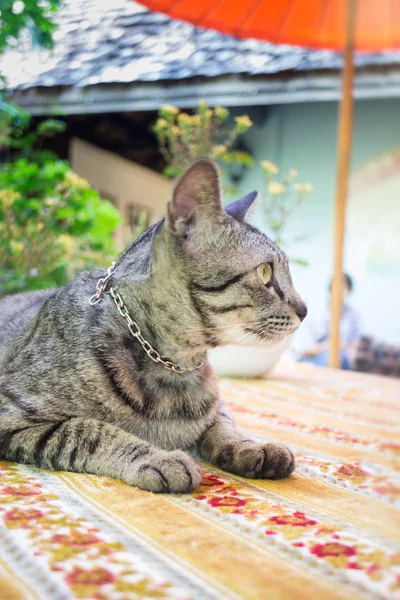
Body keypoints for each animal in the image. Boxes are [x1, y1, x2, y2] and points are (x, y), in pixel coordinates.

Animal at [0, 158, 308, 492]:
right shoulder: (11, 413)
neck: (177, 367)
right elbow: (87, 430)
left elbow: (223, 424)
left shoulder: (217, 408)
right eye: (265, 272)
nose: (305, 309)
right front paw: (157, 458)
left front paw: (251, 445)